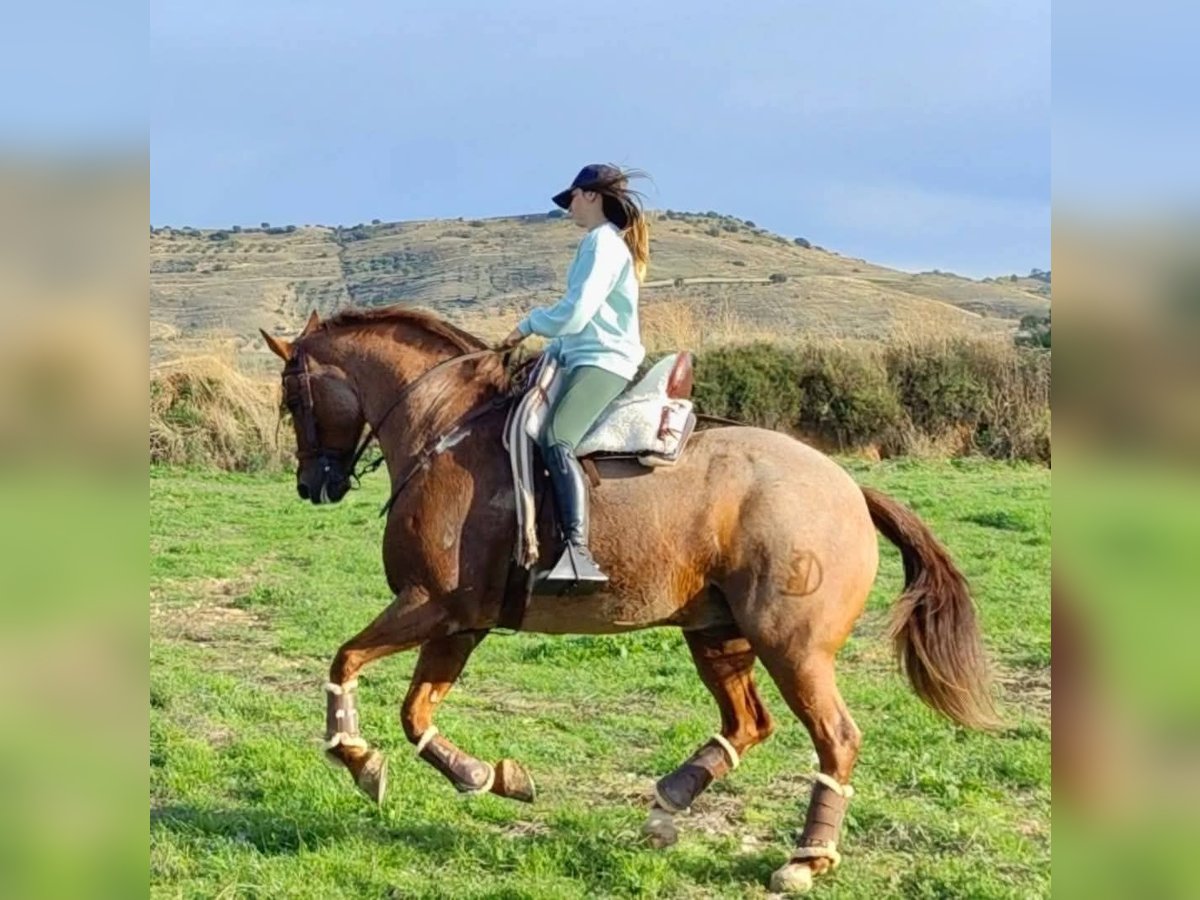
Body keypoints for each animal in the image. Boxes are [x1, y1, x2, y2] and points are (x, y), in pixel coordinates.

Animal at [265, 309, 1003, 897]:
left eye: (292, 398)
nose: (313, 484)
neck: (442, 430)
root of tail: (848, 486)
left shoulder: (432, 605)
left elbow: (346, 663)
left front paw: (358, 760)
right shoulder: (462, 622)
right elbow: (417, 713)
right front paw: (490, 776)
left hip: (792, 648)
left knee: (836, 739)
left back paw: (806, 858)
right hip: (717, 632)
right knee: (747, 724)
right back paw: (668, 802)